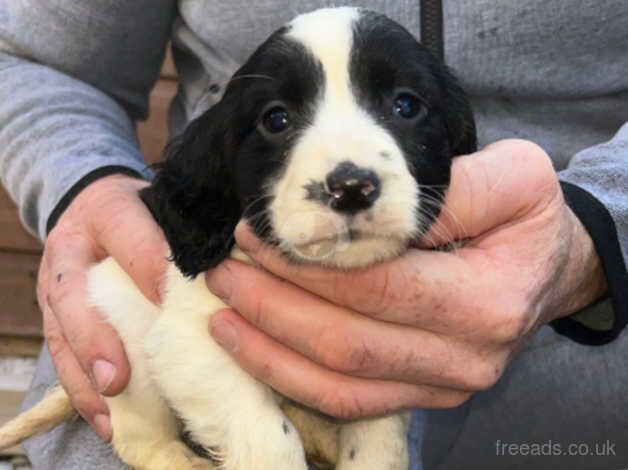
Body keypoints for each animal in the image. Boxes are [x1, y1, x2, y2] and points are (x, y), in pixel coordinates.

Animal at [0, 6, 476, 470]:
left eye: (406, 106)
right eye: (276, 119)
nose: (352, 187)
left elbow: (379, 442)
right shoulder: (190, 341)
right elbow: (270, 440)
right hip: (125, 353)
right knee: (142, 442)